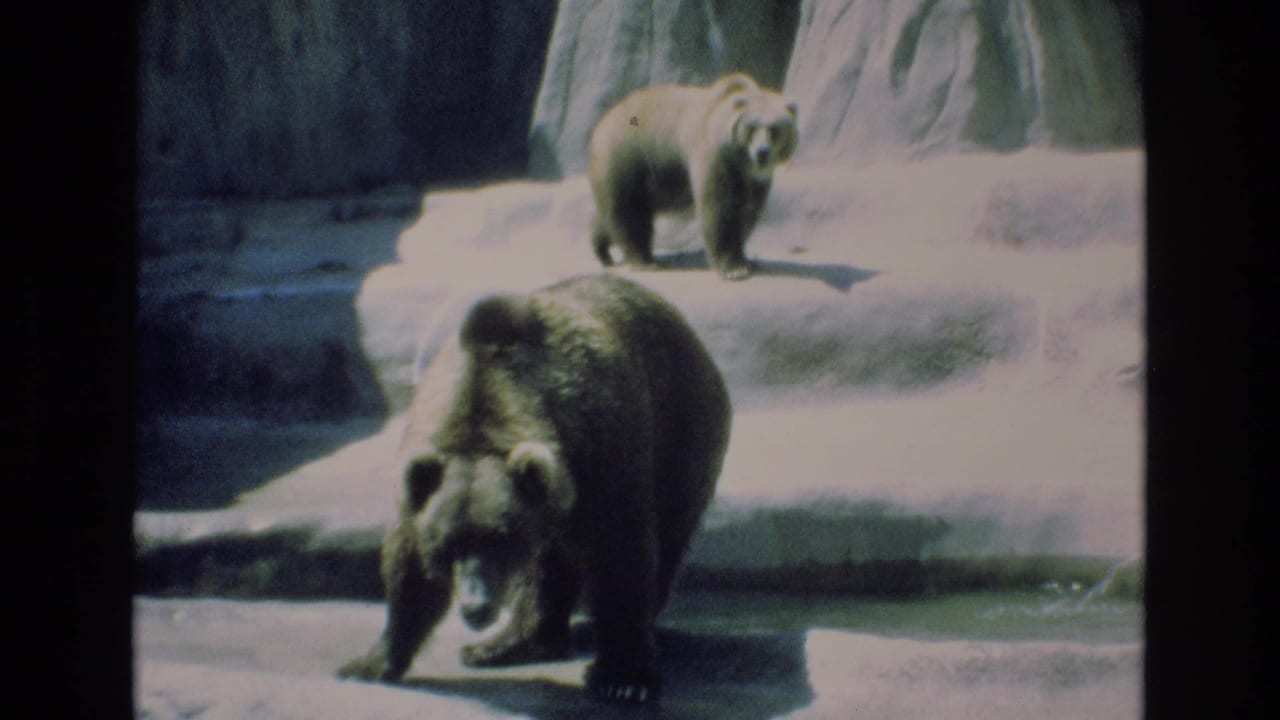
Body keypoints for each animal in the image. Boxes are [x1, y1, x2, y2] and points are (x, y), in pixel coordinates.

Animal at [337, 274, 732, 705]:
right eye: (448, 544)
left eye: (499, 539)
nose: (476, 606)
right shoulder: (424, 473)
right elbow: (409, 564)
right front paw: (370, 662)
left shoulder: (604, 448)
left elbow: (620, 550)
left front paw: (624, 677)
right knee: (552, 562)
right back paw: (505, 644)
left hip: (681, 432)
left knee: (667, 534)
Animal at [588, 72, 798, 281]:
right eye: (752, 127)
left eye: (774, 129)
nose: (762, 152)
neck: (738, 158)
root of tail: (602, 122)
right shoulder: (713, 156)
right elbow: (719, 207)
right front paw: (733, 268)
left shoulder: (752, 178)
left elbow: (746, 210)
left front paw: (745, 261)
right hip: (627, 158)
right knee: (630, 211)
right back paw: (645, 261)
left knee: (612, 214)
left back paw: (603, 251)